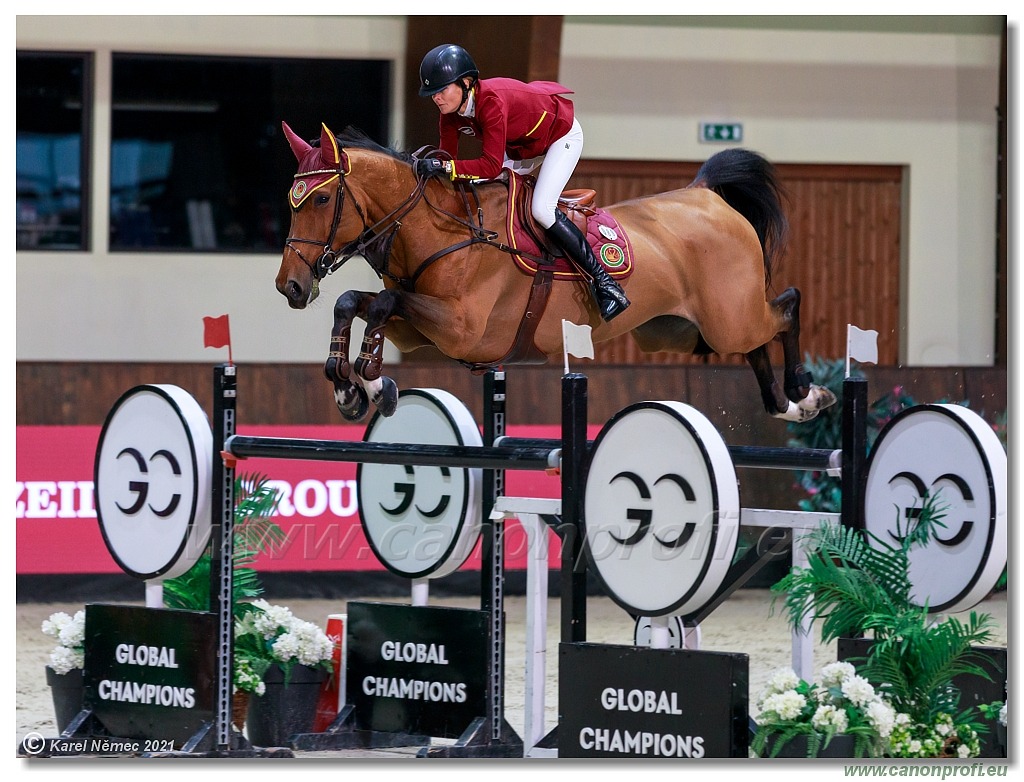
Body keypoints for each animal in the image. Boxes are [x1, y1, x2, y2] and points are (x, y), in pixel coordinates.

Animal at [276, 122, 835, 423]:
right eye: (291, 200)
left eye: (321, 199)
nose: (290, 287)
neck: (439, 229)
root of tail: (706, 196)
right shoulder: (423, 335)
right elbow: (356, 301)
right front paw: (352, 388)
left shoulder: (463, 330)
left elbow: (381, 302)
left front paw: (370, 380)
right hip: (681, 333)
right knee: (756, 340)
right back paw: (787, 405)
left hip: (728, 317)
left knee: (786, 306)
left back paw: (806, 391)